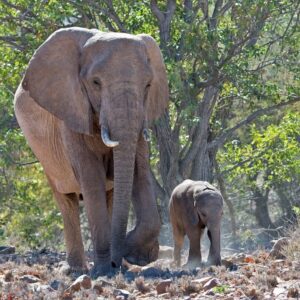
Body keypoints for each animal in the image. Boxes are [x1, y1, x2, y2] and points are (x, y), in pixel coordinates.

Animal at [14, 27, 168, 278]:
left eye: (148, 85)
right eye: (96, 82)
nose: (116, 262)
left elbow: (139, 171)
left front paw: (134, 256)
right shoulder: (71, 112)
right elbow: (91, 177)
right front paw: (104, 270)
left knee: (109, 196)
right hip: (46, 158)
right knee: (67, 202)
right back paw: (76, 269)